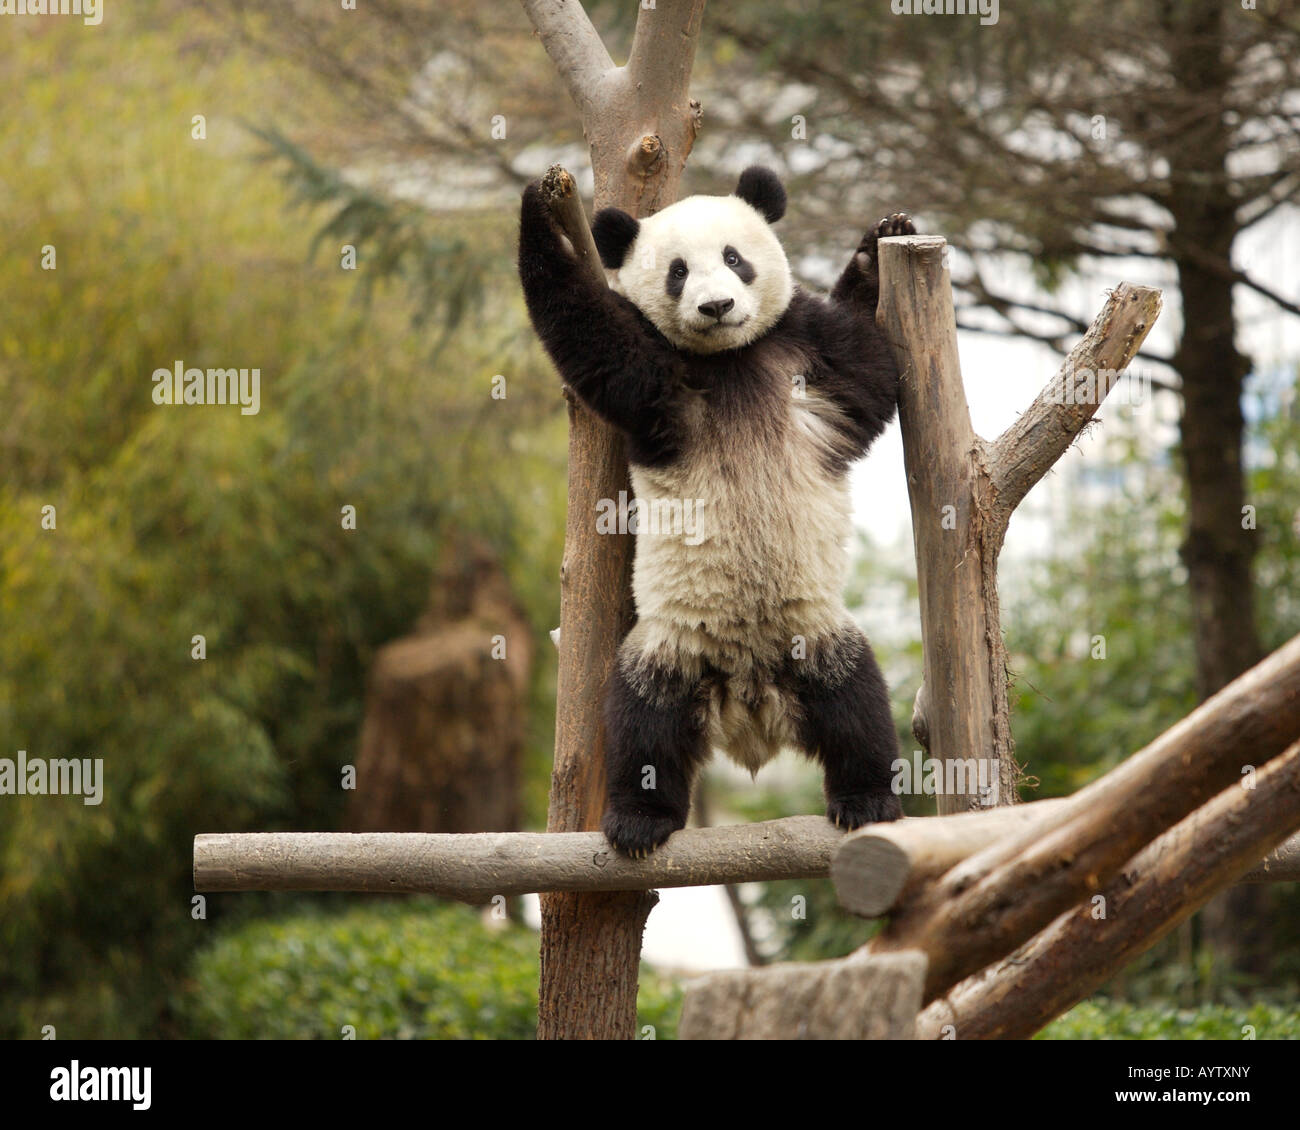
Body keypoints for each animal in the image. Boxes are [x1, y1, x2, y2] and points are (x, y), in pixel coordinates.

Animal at [518, 166, 913, 857]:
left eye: (734, 259)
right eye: (678, 271)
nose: (717, 307)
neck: (730, 357)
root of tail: (750, 707)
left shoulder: (803, 353)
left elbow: (867, 375)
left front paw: (880, 243)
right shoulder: (661, 379)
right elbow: (597, 341)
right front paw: (539, 212)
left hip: (816, 633)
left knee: (857, 704)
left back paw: (866, 798)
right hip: (669, 647)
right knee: (642, 721)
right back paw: (639, 821)